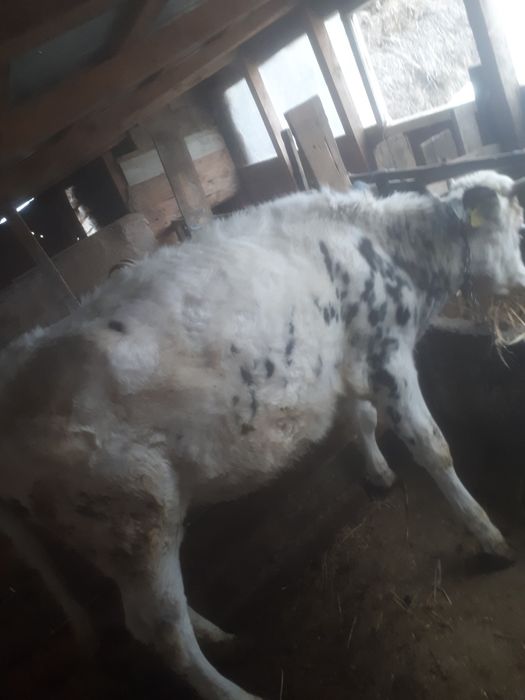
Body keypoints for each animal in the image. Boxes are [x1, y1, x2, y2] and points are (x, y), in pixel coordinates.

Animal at [0, 170, 524, 700]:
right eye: (517, 230)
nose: (522, 282)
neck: (385, 247)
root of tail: (13, 374)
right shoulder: (388, 357)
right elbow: (433, 448)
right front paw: (488, 537)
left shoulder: (343, 360)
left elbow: (360, 418)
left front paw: (379, 475)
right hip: (133, 516)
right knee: (161, 630)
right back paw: (233, 691)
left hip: (114, 535)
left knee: (155, 609)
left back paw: (217, 635)